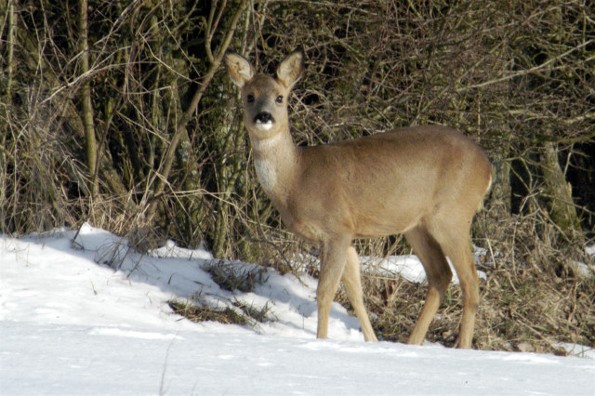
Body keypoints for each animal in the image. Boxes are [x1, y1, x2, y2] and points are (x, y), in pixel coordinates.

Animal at [225, 50, 494, 350]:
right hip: (417, 225)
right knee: (440, 275)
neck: (297, 177)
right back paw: (412, 344)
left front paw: (321, 341)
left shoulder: (337, 228)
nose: (264, 116)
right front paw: (371, 341)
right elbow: (355, 292)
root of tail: (487, 167)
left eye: (280, 97)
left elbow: (325, 292)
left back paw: (463, 348)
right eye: (249, 96)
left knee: (470, 280)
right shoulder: (347, 235)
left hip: (452, 215)